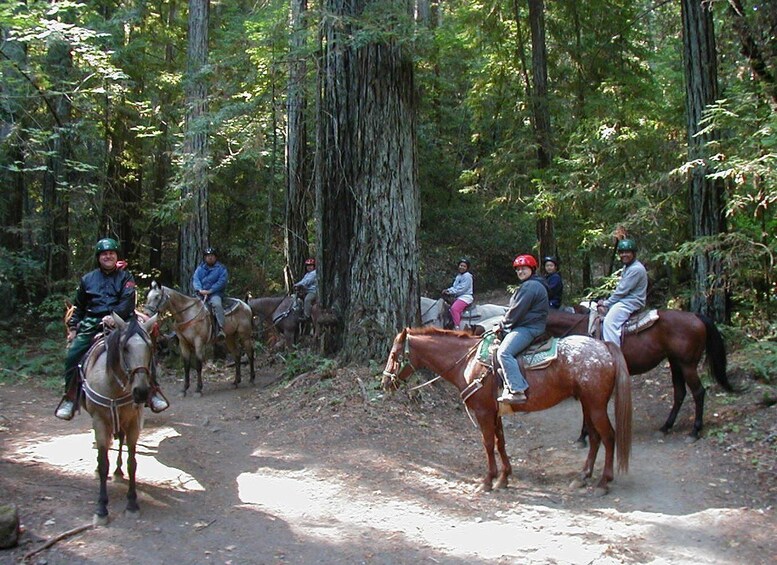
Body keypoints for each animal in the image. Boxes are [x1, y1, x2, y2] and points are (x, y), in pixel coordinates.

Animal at [82, 312, 158, 524]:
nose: (141, 392)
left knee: (120, 441)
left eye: (150, 347)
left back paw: (117, 472)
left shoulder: (132, 422)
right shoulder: (99, 422)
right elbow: (103, 463)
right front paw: (101, 508)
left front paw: (132, 503)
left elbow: (132, 463)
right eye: (125, 348)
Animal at [382, 326, 632, 494]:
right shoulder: (495, 413)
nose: (385, 383)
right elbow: (500, 442)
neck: (468, 362)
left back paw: (603, 482)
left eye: (394, 355)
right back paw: (583, 476)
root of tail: (603, 346)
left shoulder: (483, 413)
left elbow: (487, 443)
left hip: (596, 405)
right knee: (595, 436)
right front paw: (504, 478)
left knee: (609, 436)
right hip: (587, 404)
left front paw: (487, 481)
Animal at [544, 306, 732, 438]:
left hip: (688, 365)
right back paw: (666, 427)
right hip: (675, 363)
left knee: (698, 392)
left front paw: (584, 435)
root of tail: (695, 316)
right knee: (680, 392)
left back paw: (695, 430)